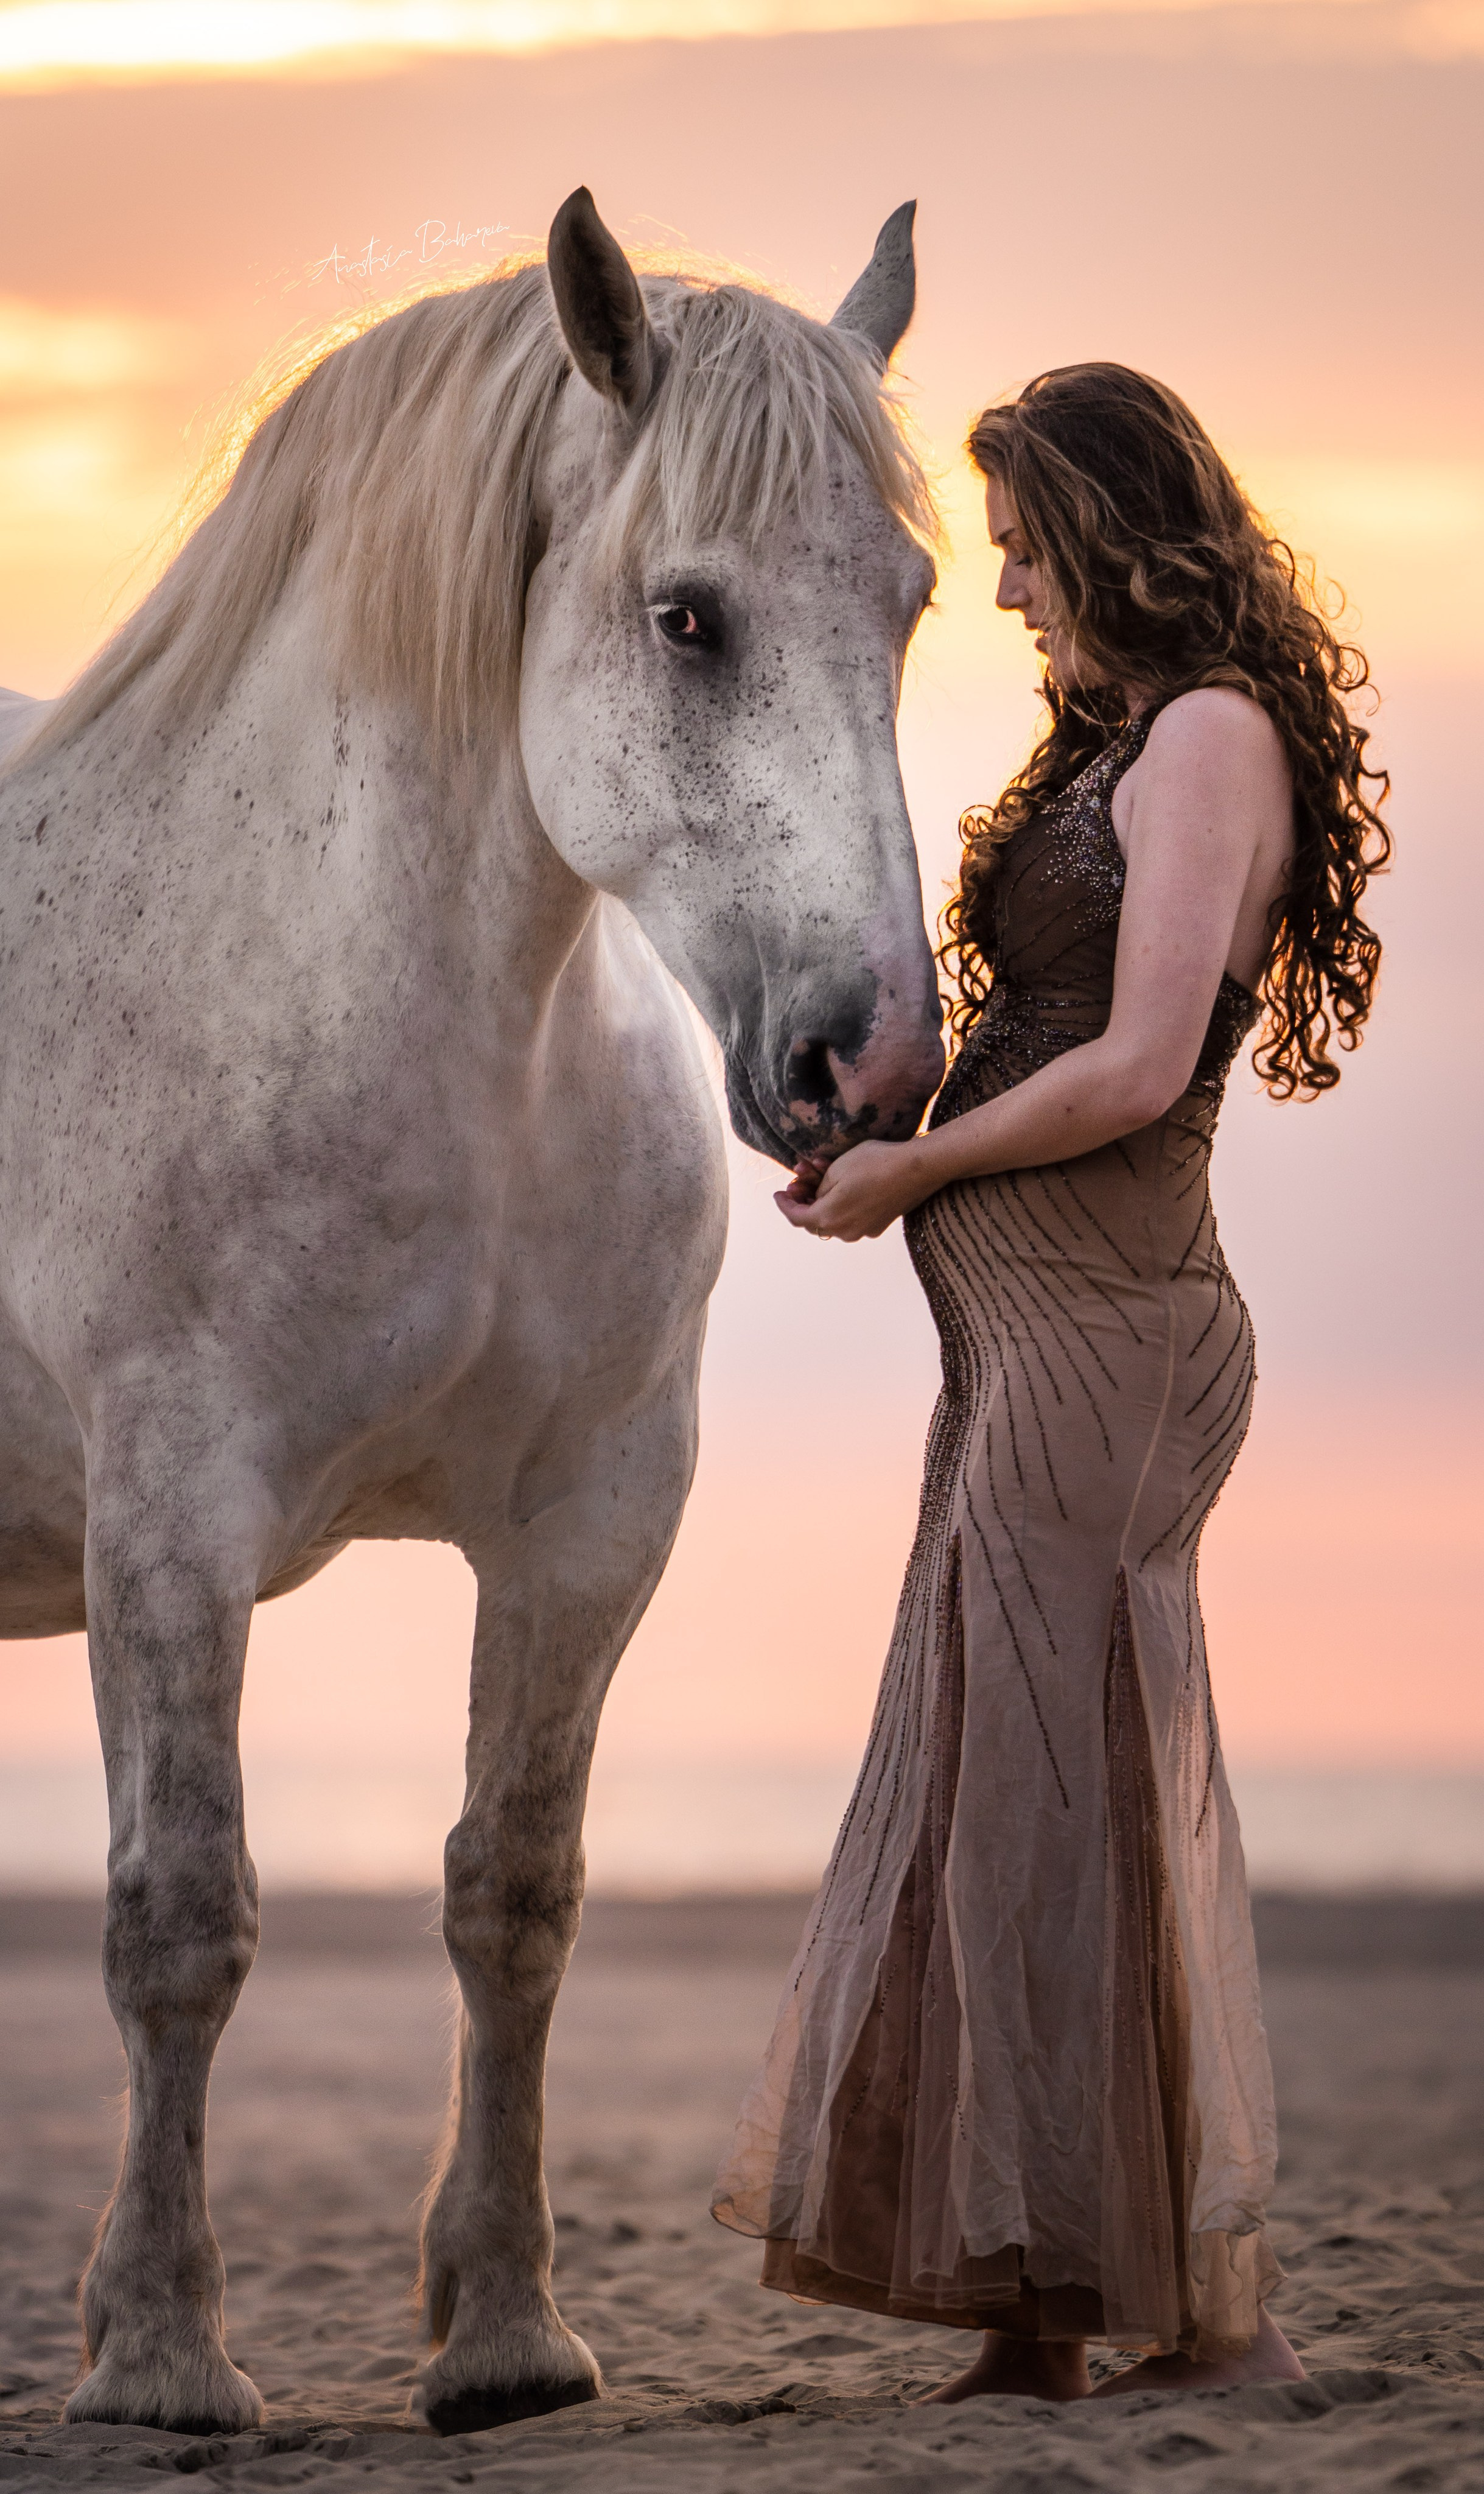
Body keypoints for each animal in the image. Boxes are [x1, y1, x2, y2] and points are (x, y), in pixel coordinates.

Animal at [0, 188, 943, 2436]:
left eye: (909, 599)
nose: (868, 1060)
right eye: (685, 618)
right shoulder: (174, 1520)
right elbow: (182, 1917)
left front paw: (504, 2333)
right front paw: (161, 2353)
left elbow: (515, 1894)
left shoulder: (588, 1525)